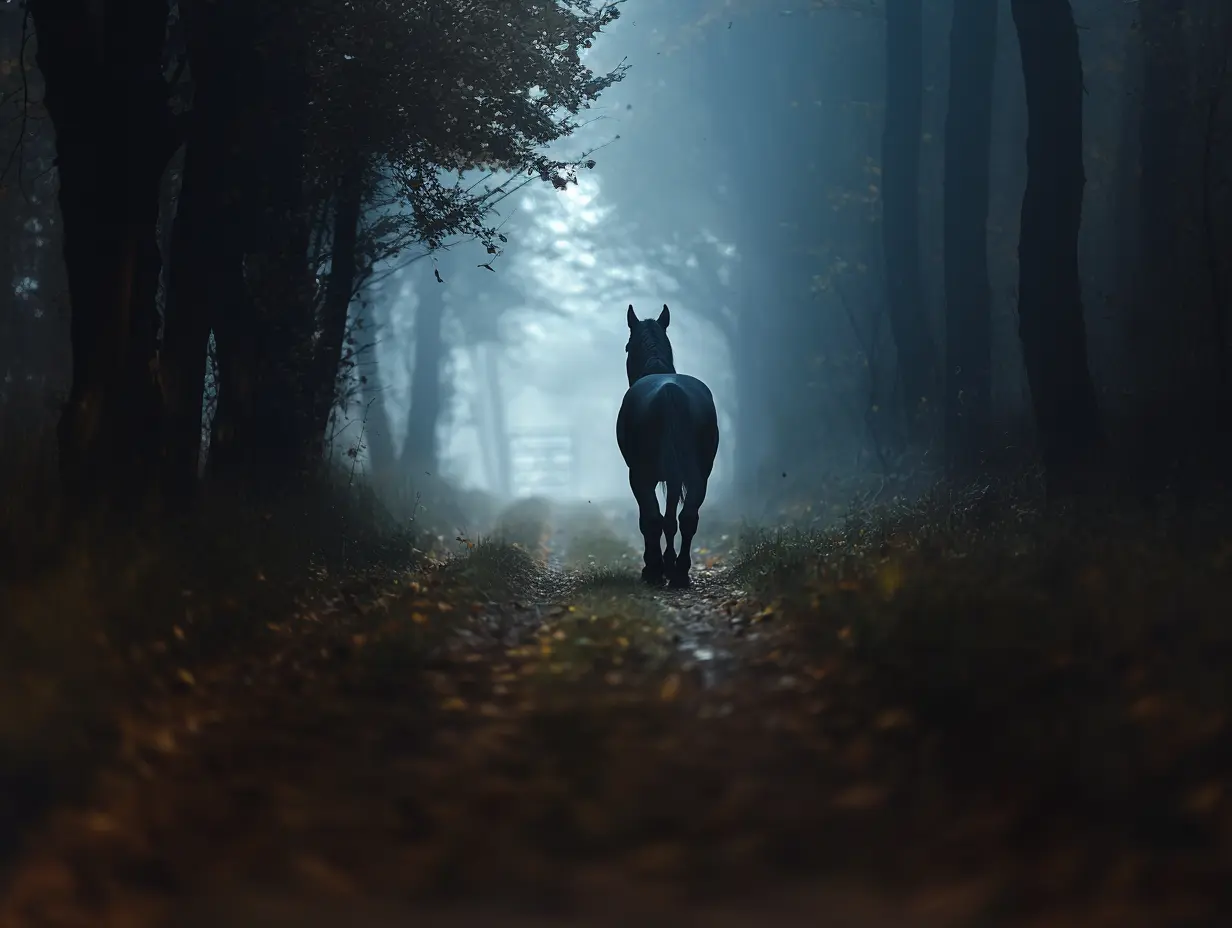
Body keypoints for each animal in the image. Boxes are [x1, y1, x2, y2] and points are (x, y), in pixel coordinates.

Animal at [616, 304, 720, 588]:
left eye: (627, 347)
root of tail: (671, 391)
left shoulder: (641, 476)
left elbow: (652, 519)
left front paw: (657, 566)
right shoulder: (676, 476)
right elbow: (671, 518)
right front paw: (670, 564)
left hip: (641, 474)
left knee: (652, 519)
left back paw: (654, 571)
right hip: (699, 474)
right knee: (688, 518)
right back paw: (680, 573)